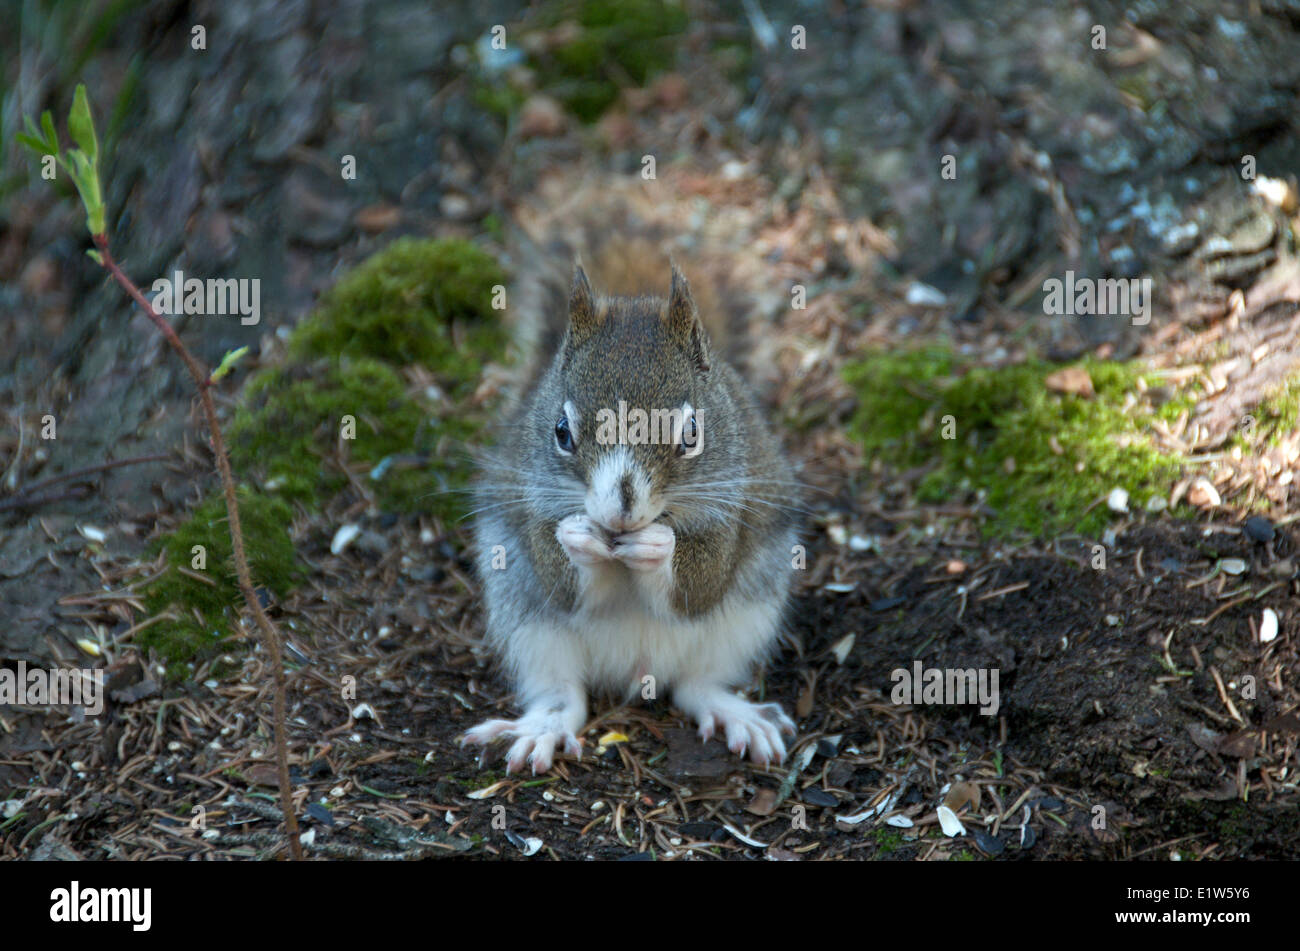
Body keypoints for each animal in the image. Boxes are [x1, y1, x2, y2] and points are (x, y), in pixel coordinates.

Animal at [457, 226, 800, 774]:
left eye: (692, 431)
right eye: (561, 431)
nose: (618, 514)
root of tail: (636, 671)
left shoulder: (732, 506)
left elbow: (700, 586)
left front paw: (658, 546)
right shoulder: (534, 505)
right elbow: (562, 584)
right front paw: (577, 537)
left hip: (747, 616)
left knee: (696, 685)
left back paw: (735, 715)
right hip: (527, 623)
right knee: (563, 695)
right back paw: (541, 730)